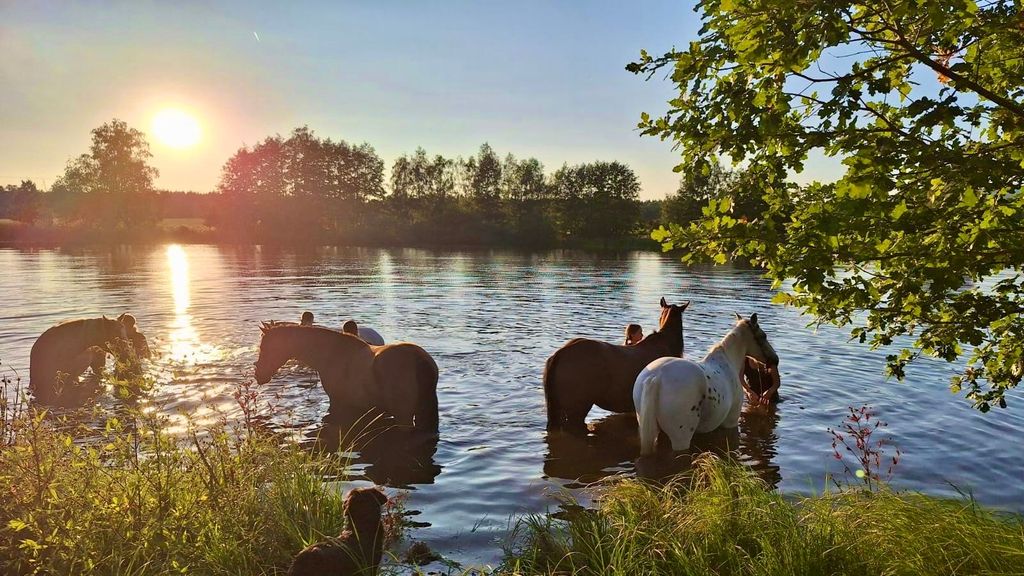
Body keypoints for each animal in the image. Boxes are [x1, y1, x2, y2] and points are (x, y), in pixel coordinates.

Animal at [254, 323, 439, 432]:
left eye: (266, 347)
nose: (259, 375)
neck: (333, 354)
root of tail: (419, 359)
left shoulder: (337, 403)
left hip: (404, 416)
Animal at [634, 313, 779, 456]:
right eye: (763, 336)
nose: (775, 360)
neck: (728, 361)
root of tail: (656, 376)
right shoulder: (731, 422)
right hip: (680, 438)